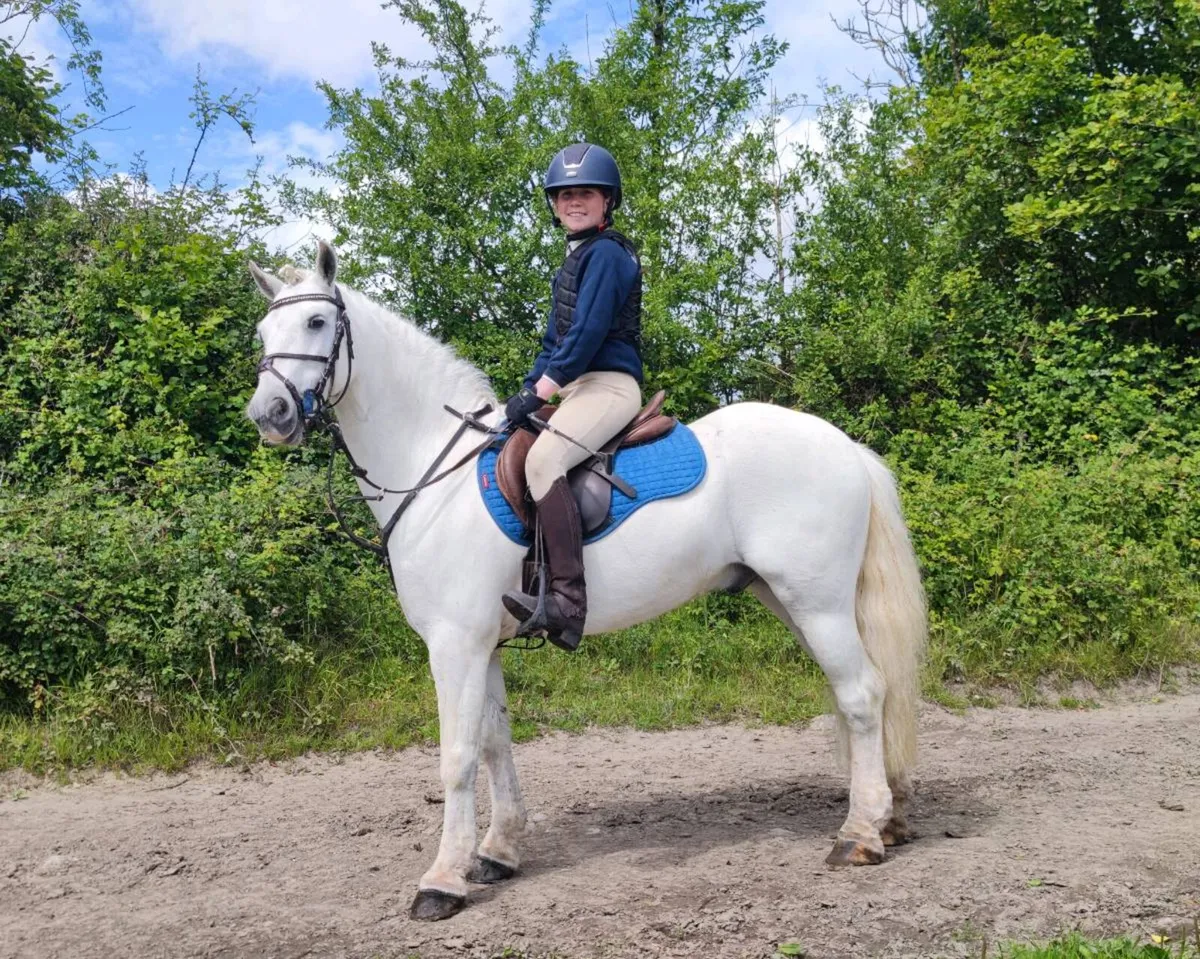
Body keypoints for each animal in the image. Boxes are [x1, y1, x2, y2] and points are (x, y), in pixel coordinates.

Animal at [245, 241, 927, 922]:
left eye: (316, 323)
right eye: (263, 333)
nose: (269, 415)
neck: (436, 472)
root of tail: (846, 447)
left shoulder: (454, 643)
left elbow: (457, 757)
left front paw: (442, 880)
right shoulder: (485, 644)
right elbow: (495, 743)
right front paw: (499, 852)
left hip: (817, 602)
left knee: (862, 693)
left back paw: (861, 834)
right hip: (793, 599)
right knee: (866, 690)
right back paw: (887, 818)